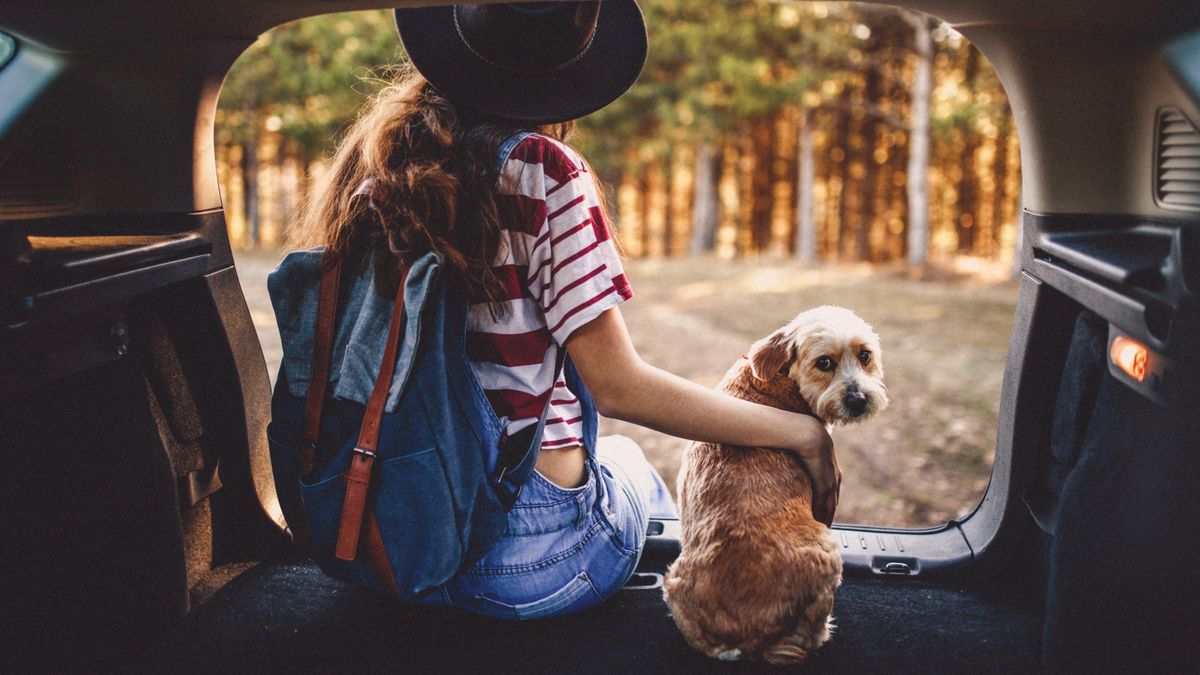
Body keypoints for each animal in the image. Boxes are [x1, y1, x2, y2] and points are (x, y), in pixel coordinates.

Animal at [662, 307, 888, 662]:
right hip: (825, 553)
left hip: (672, 583)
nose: (858, 399)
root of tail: (740, 637)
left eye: (864, 355)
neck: (777, 378)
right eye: (824, 362)